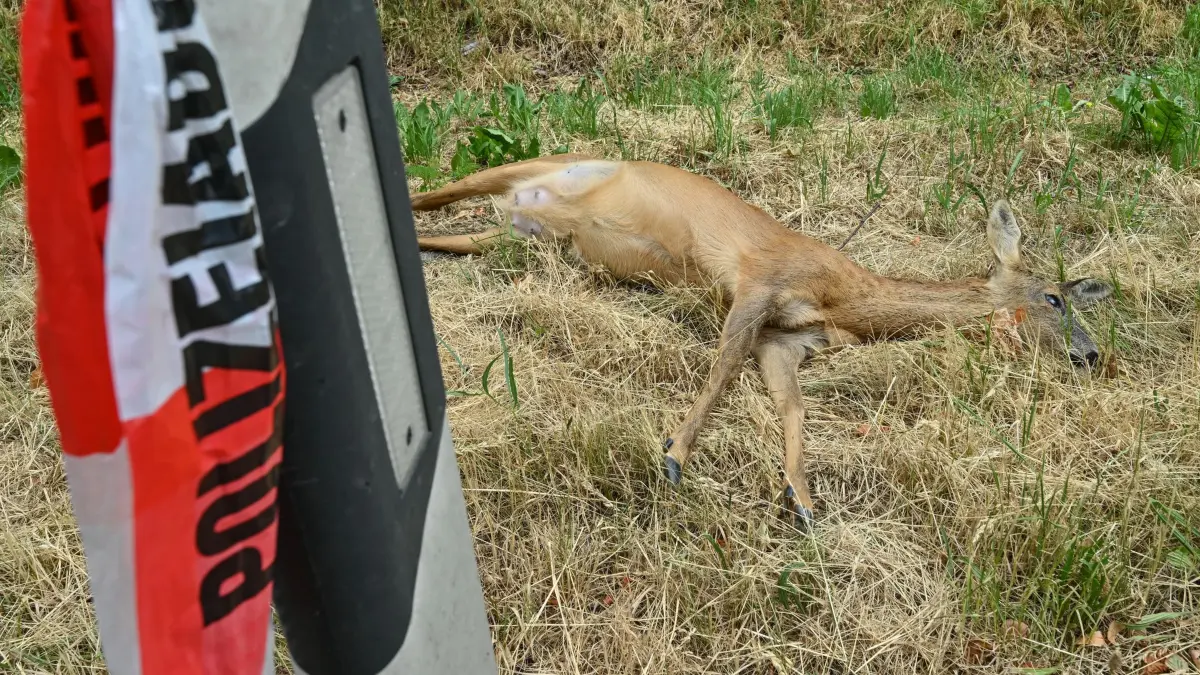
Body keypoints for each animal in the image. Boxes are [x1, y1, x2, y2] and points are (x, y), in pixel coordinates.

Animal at [411, 153, 1114, 529]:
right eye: (1053, 297)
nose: (1092, 354)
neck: (842, 298)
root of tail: (523, 203)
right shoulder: (757, 284)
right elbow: (721, 371)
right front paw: (674, 455)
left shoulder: (785, 340)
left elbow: (792, 405)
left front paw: (800, 499)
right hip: (531, 168)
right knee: (434, 190)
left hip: (520, 237)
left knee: (447, 233)